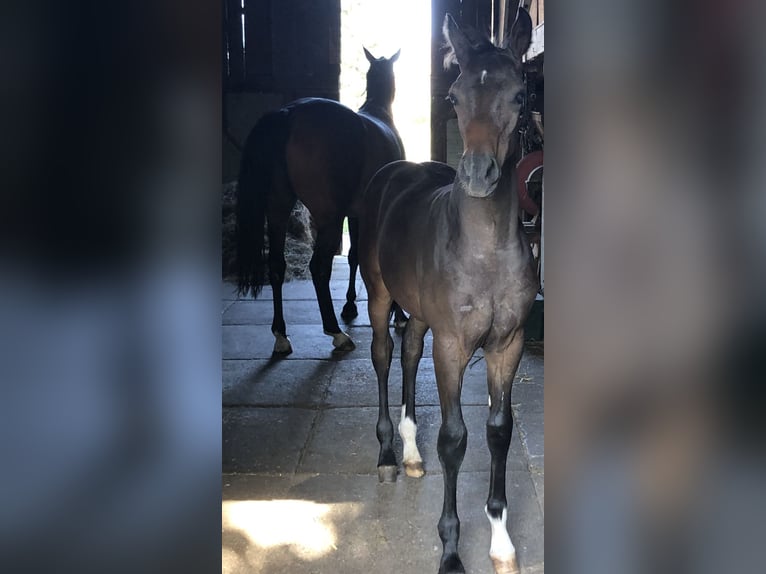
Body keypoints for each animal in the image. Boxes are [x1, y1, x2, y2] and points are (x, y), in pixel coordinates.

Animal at [238, 49, 408, 356]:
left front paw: (350, 305)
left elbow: (354, 257)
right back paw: (336, 333)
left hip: (278, 209)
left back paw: (281, 336)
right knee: (318, 267)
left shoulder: (357, 213)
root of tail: (288, 114)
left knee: (277, 265)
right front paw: (398, 315)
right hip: (329, 218)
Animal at [362, 9, 536, 574]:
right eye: (455, 97)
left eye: (520, 95)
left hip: (419, 315)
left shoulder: (508, 345)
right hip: (378, 297)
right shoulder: (454, 347)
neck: (484, 253)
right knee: (383, 354)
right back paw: (388, 456)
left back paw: (412, 454)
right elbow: (455, 439)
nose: (479, 174)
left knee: (410, 352)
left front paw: (501, 540)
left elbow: (498, 430)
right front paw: (452, 550)